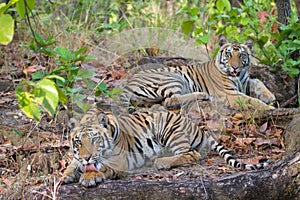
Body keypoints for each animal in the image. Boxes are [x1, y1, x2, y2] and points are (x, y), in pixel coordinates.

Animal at [62, 108, 270, 188]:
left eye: (95, 139)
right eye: (78, 141)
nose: (87, 157)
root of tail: (199, 127)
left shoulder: (118, 162)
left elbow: (100, 167)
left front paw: (89, 177)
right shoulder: (77, 158)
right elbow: (72, 165)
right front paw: (66, 176)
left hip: (168, 129)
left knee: (192, 153)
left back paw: (161, 162)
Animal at [120, 36, 276, 111]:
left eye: (242, 55)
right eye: (229, 54)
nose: (235, 67)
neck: (239, 76)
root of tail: (128, 83)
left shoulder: (245, 81)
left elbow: (257, 81)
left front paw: (269, 96)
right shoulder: (230, 94)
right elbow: (252, 100)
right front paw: (269, 107)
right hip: (173, 77)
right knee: (170, 100)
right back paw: (202, 95)